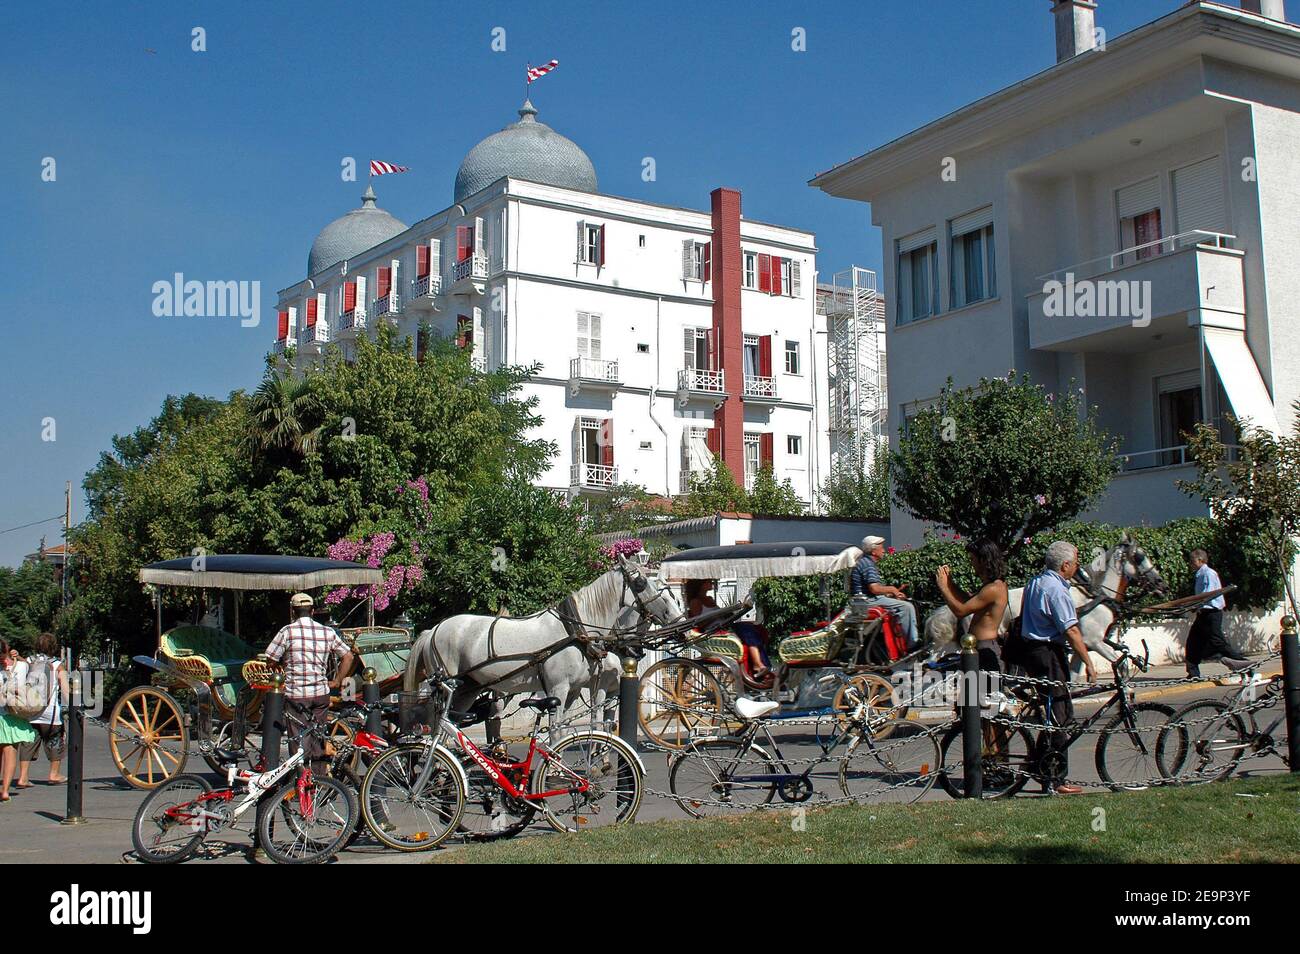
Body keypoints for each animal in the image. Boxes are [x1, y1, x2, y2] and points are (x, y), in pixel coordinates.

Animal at [403, 556, 686, 738]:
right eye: (641, 583)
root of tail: (432, 631)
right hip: (448, 686)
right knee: (437, 723)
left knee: (448, 724)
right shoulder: (558, 688)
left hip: (467, 689)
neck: (575, 632)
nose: (679, 622)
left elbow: (568, 729)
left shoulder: (573, 690)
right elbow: (556, 730)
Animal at [925, 535, 1170, 670]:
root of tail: (969, 602)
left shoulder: (1086, 644)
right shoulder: (1093, 641)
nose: (1162, 583)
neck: (1094, 593)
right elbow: (1121, 663)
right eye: (1139, 556)